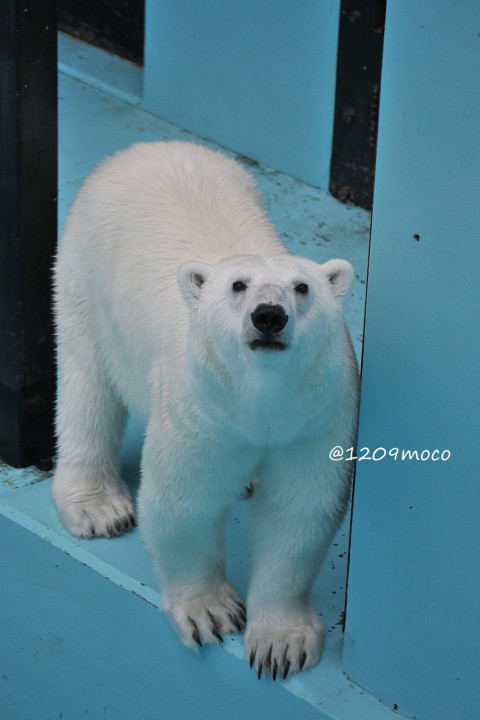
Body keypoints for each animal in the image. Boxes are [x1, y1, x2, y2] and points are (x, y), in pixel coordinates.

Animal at [53, 142, 360, 680]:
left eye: (302, 287)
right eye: (237, 285)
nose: (269, 316)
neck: (260, 401)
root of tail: (145, 148)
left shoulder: (318, 416)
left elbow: (298, 509)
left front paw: (281, 644)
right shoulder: (199, 411)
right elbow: (183, 501)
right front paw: (211, 613)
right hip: (83, 272)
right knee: (87, 384)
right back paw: (97, 506)